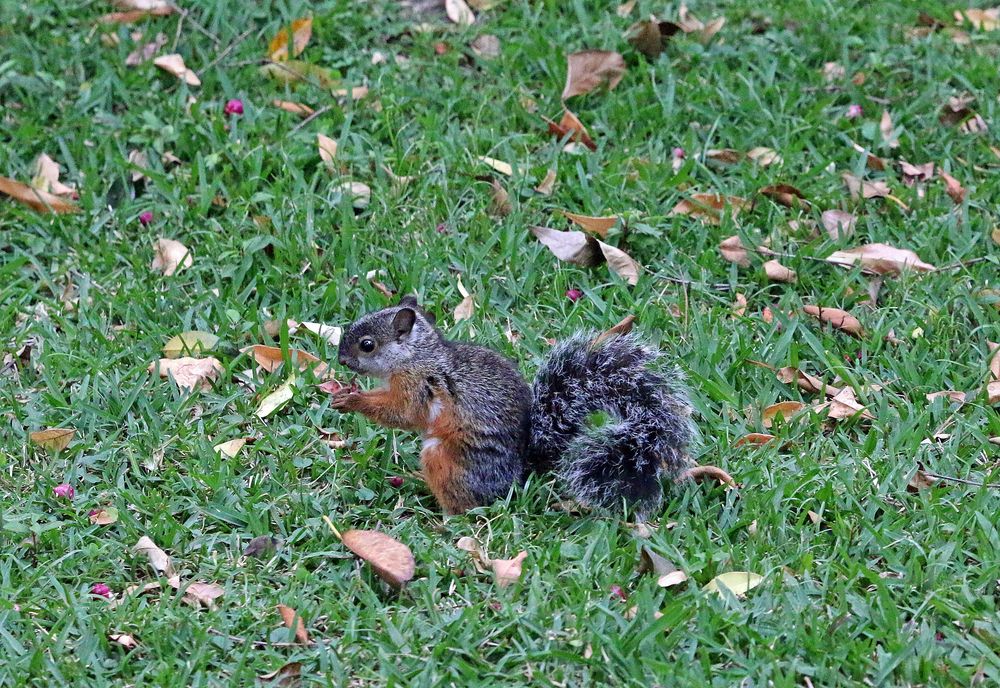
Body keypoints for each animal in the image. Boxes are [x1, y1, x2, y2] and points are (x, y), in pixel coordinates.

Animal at [328, 296, 696, 516]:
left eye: (367, 345)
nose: (341, 360)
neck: (417, 357)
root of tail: (516, 477)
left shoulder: (418, 385)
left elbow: (403, 413)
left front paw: (352, 399)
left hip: (448, 458)